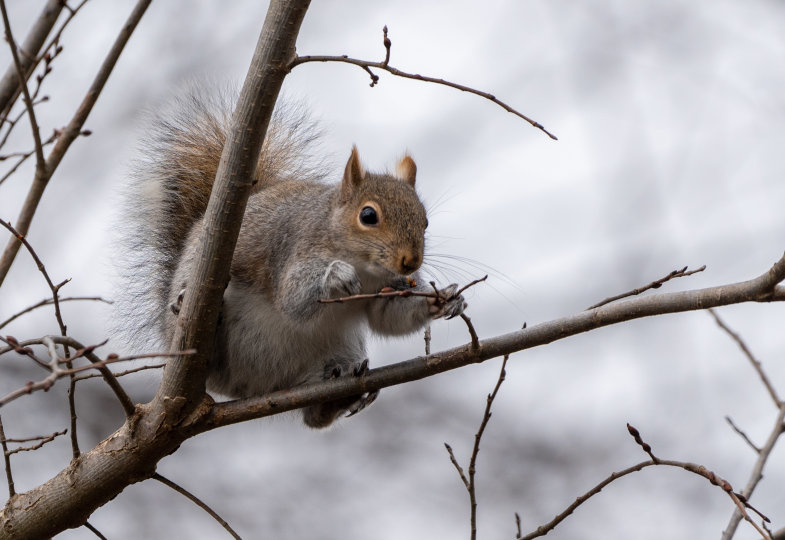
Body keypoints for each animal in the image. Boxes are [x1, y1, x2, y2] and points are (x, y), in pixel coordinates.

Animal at [120, 87, 466, 426]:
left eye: (425, 221)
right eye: (368, 215)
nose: (411, 262)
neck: (366, 268)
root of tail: (256, 387)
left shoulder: (389, 287)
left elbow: (389, 316)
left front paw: (445, 299)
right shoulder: (293, 249)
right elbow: (293, 300)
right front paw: (336, 275)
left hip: (341, 346)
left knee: (315, 417)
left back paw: (337, 395)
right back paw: (190, 308)